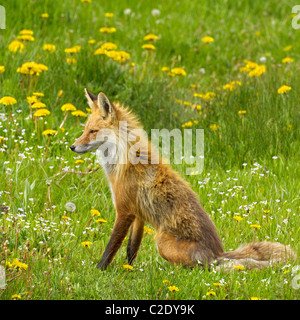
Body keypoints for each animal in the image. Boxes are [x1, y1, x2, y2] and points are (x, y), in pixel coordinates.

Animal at [71, 89, 298, 270]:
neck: (122, 158)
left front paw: (100, 270)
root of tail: (217, 253)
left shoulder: (125, 211)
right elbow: (131, 249)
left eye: (92, 131)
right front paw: (129, 269)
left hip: (161, 239)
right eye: (84, 130)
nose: (72, 147)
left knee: (201, 268)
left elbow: (111, 246)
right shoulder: (138, 215)